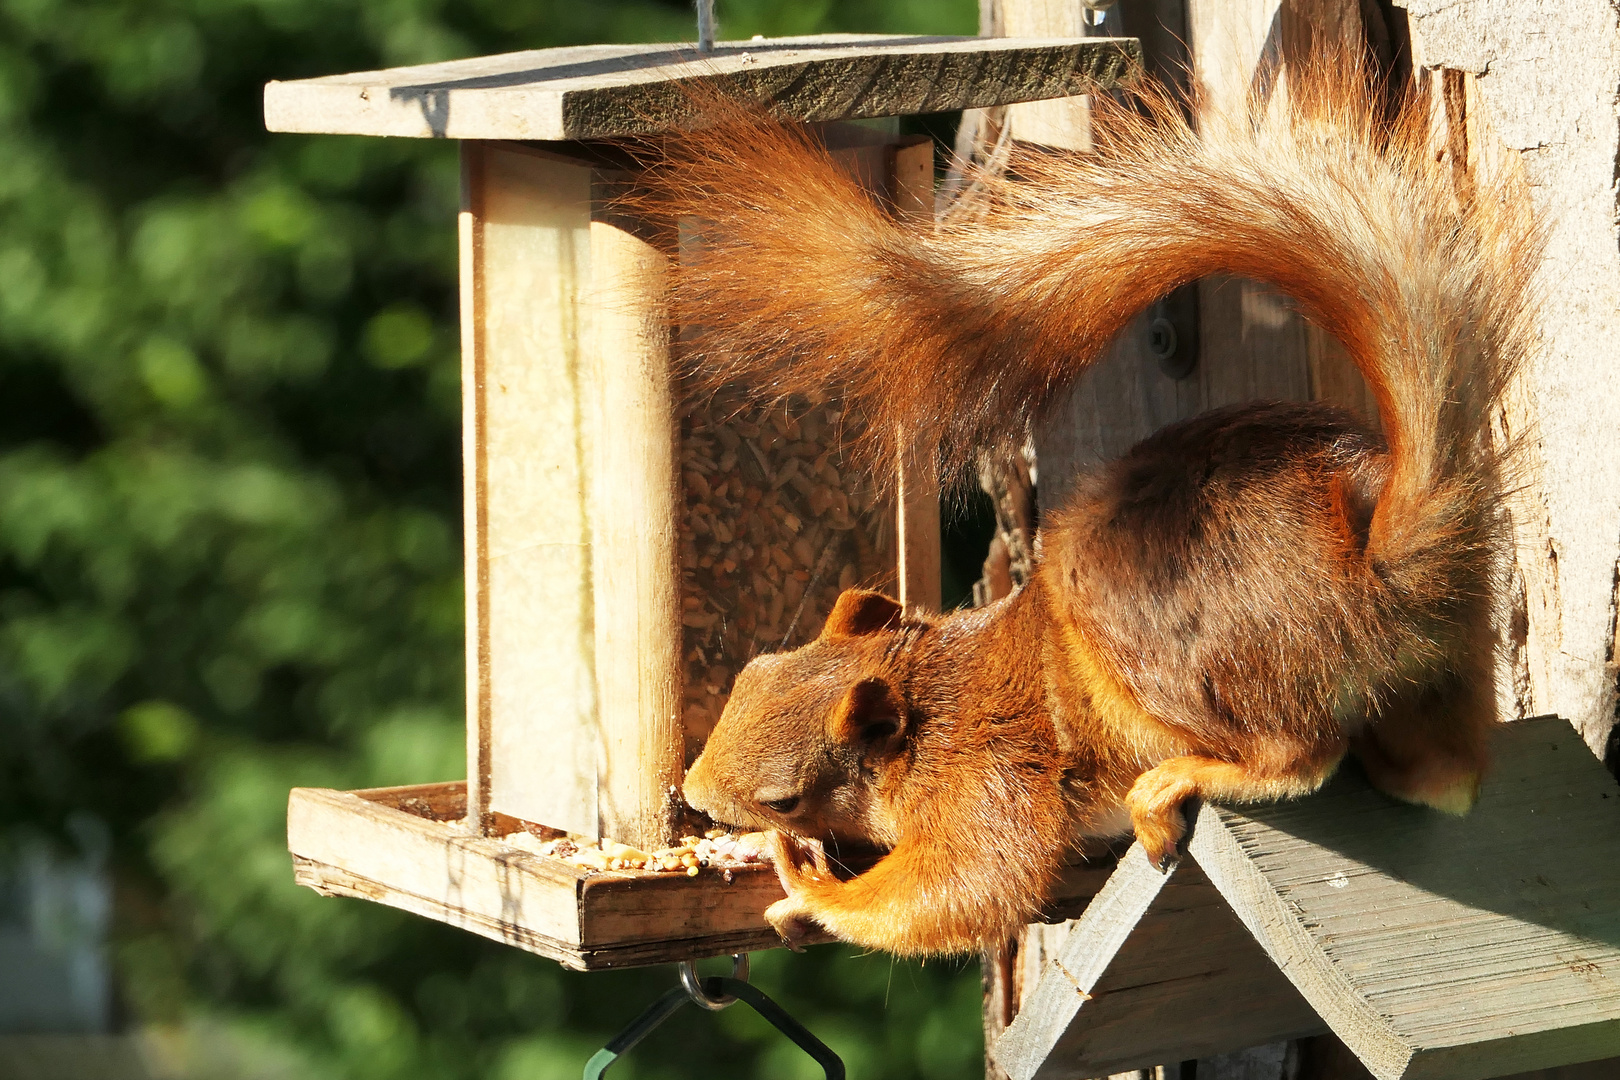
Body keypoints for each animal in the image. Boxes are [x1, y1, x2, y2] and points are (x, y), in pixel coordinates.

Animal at [651, 61, 1535, 952]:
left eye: (783, 799)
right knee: (1444, 780)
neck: (929, 698)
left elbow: (960, 888)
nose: (694, 793)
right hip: (1442, 671)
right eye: (754, 673)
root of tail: (1374, 564)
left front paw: (807, 889)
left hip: (1163, 640)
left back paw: (1180, 782)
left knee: (1296, 757)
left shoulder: (989, 781)